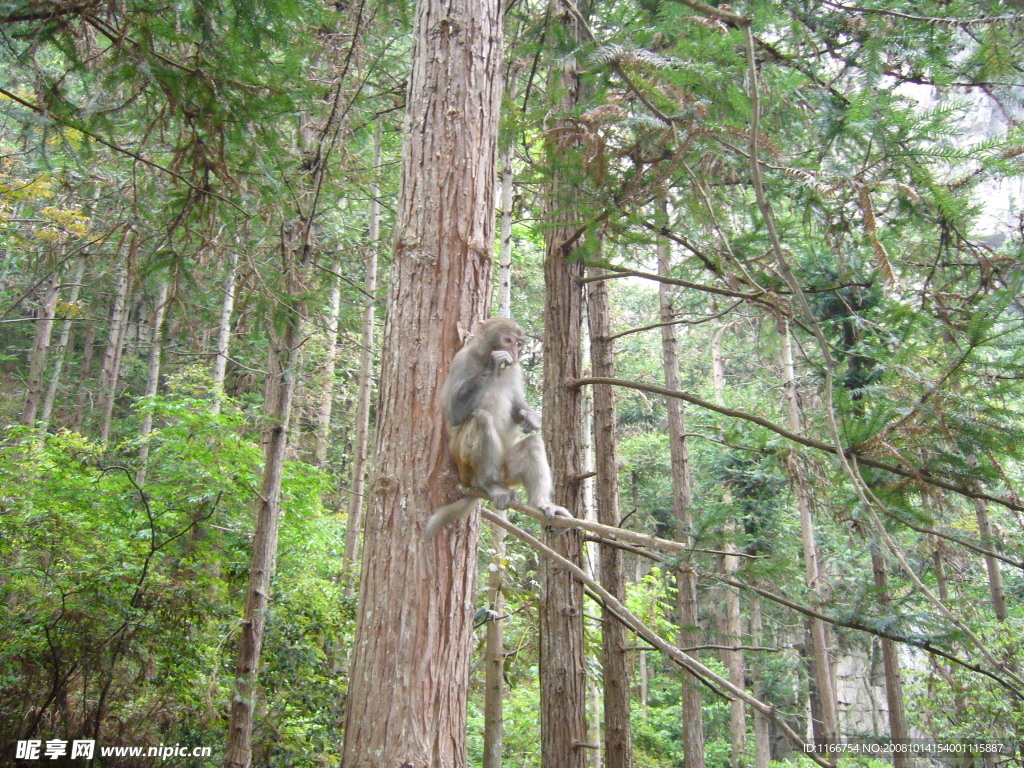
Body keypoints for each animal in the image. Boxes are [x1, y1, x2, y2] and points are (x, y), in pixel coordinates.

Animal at [421, 315, 573, 536]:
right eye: (507, 340)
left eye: (518, 344)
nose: (515, 353)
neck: (483, 356)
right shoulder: (461, 360)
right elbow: (454, 413)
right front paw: (494, 365)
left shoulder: (516, 369)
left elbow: (517, 406)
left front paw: (530, 417)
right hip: (465, 466)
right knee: (481, 419)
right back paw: (490, 484)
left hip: (508, 470)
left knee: (533, 443)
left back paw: (542, 503)